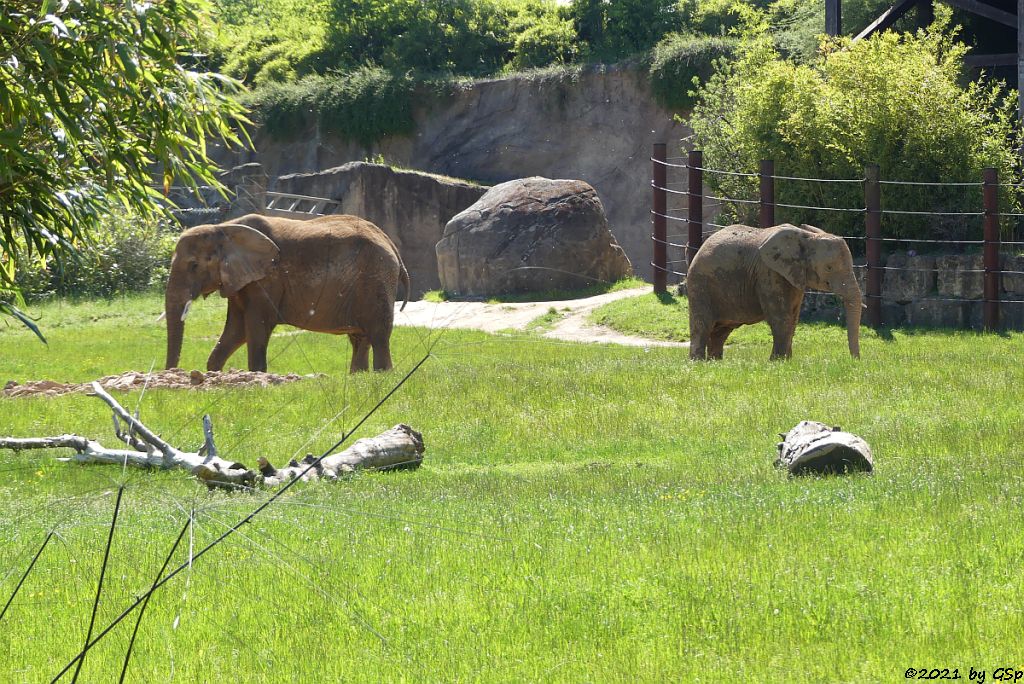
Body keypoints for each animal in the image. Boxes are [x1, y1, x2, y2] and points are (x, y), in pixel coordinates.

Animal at [163, 214, 407, 374]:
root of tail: (390, 243)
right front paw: (214, 373)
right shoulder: (242, 280)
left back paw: (382, 376)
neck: (222, 229)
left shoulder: (267, 279)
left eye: (194, 265)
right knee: (360, 337)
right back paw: (359, 377)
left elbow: (256, 325)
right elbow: (236, 328)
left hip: (376, 277)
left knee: (378, 334)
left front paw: (256, 376)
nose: (172, 372)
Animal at [688, 224, 864, 362]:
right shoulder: (769, 273)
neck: (807, 238)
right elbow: (780, 317)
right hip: (701, 284)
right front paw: (777, 362)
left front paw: (787, 361)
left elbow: (793, 318)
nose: (854, 361)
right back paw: (698, 363)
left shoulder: (793, 276)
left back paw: (715, 362)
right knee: (702, 324)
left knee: (721, 330)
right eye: (829, 268)